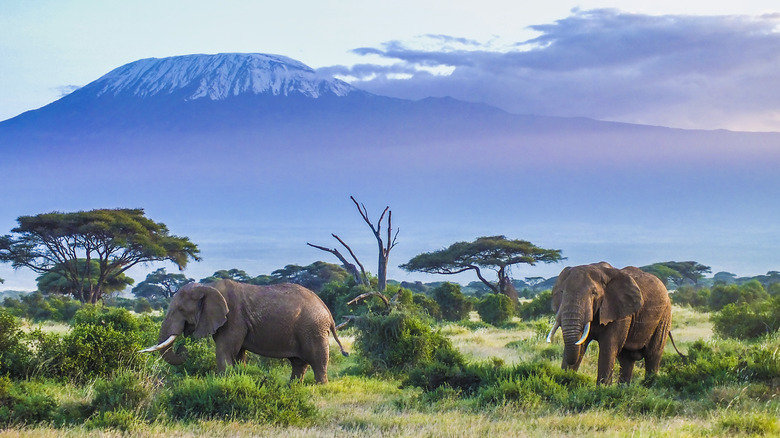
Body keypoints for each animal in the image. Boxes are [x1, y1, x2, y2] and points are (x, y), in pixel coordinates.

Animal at [140, 280, 348, 384]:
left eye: (181, 310)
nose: (184, 349)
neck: (208, 287)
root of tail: (327, 309)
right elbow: (238, 354)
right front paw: (238, 377)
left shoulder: (233, 318)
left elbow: (224, 351)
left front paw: (223, 383)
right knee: (298, 363)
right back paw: (293, 387)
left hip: (313, 329)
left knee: (317, 361)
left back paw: (320, 387)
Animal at [544, 264, 672, 384]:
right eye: (562, 292)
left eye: (594, 292)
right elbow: (580, 345)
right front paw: (565, 382)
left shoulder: (619, 312)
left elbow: (608, 347)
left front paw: (602, 390)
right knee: (626, 359)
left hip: (665, 316)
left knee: (653, 355)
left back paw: (649, 385)